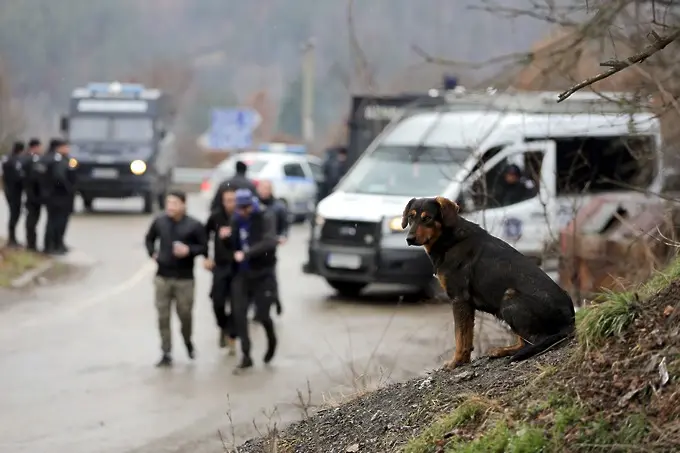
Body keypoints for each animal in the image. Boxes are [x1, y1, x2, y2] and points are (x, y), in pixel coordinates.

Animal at [402, 195, 576, 368]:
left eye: (427, 218)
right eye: (410, 217)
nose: (409, 239)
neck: (449, 239)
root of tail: (570, 319)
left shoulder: (459, 299)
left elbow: (460, 336)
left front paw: (456, 362)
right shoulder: (466, 306)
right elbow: (467, 337)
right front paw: (462, 360)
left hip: (509, 296)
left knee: (534, 341)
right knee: (524, 341)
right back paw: (502, 350)